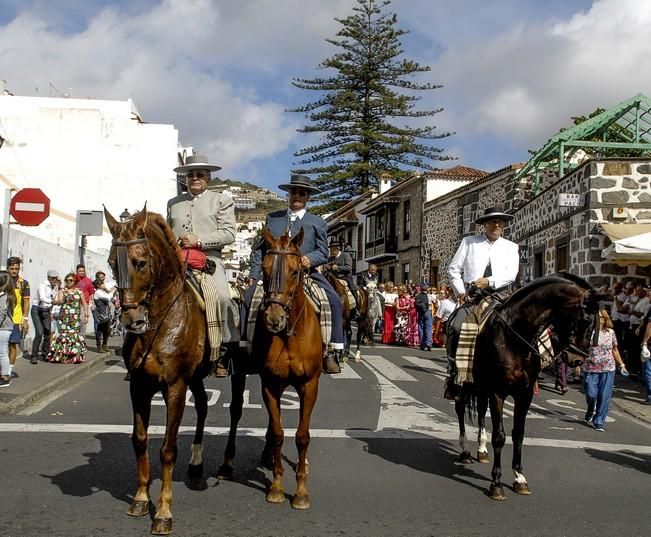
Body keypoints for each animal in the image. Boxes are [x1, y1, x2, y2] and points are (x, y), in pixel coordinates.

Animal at [104, 204, 210, 532]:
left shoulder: (175, 387)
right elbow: (139, 440)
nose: (131, 320)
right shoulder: (139, 386)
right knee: (203, 405)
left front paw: (163, 512)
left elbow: (167, 449)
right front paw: (140, 498)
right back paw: (196, 465)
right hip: (196, 378)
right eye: (111, 264)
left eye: (140, 262)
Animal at [218, 226, 322, 506]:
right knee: (235, 411)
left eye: (296, 271)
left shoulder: (309, 385)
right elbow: (277, 433)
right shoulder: (270, 384)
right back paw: (227, 463)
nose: (275, 319)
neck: (288, 335)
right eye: (264, 269)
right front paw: (276, 487)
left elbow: (302, 436)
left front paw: (301, 491)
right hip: (241, 372)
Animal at [454, 274, 600, 500]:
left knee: (480, 411)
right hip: (464, 380)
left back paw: (482, 449)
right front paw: (496, 483)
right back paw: (465, 450)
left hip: (482, 386)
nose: (577, 359)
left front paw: (519, 478)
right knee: (461, 409)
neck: (516, 338)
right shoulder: (498, 392)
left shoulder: (525, 393)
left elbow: (518, 434)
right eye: (584, 319)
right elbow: (500, 436)